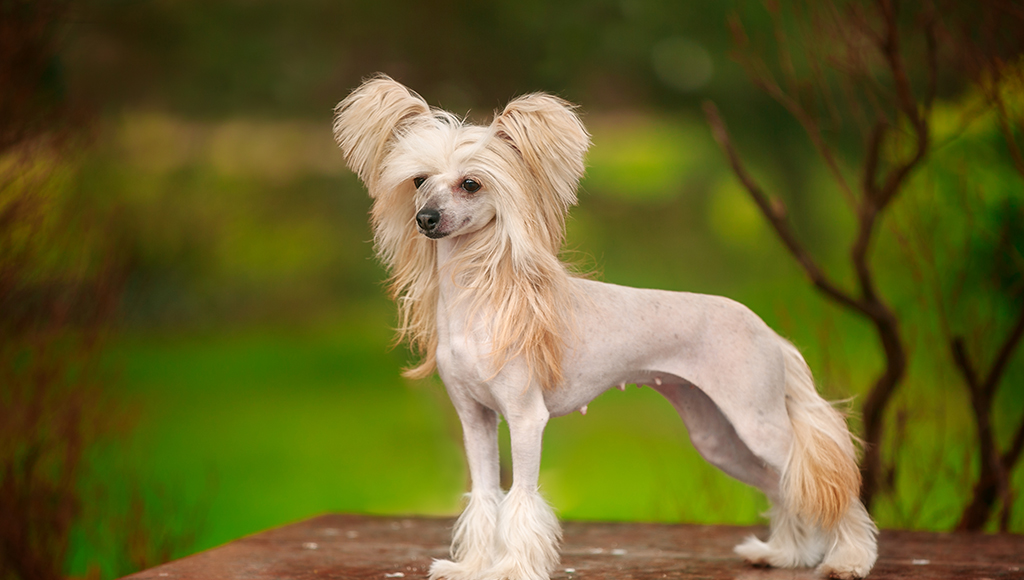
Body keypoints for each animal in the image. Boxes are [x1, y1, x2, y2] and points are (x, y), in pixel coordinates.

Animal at [331, 76, 876, 580]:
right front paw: (474, 566)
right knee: (785, 486)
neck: (479, 302)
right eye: (418, 180)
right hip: (719, 437)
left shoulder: (526, 419)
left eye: (471, 184)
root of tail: (770, 334)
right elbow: (486, 495)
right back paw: (785, 554)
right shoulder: (475, 419)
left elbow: (521, 497)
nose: (425, 219)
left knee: (828, 485)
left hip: (758, 424)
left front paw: (512, 567)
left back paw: (847, 559)